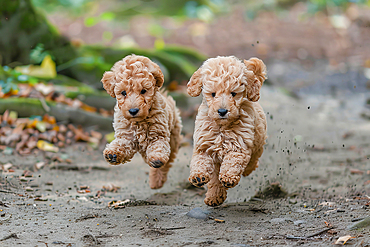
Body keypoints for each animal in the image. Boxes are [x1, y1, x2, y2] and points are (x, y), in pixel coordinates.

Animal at [101, 54, 182, 189]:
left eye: (143, 91)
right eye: (123, 93)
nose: (133, 110)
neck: (138, 122)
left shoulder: (158, 135)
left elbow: (158, 148)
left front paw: (156, 159)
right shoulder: (126, 136)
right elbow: (122, 144)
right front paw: (113, 154)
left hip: (174, 138)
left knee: (167, 161)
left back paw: (156, 180)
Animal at [186, 56, 268, 206]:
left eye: (233, 94)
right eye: (213, 94)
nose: (222, 111)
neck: (222, 127)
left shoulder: (239, 146)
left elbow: (232, 162)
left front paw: (228, 177)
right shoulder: (204, 145)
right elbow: (200, 162)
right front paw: (198, 177)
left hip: (258, 141)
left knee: (254, 158)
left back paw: (247, 169)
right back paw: (214, 196)